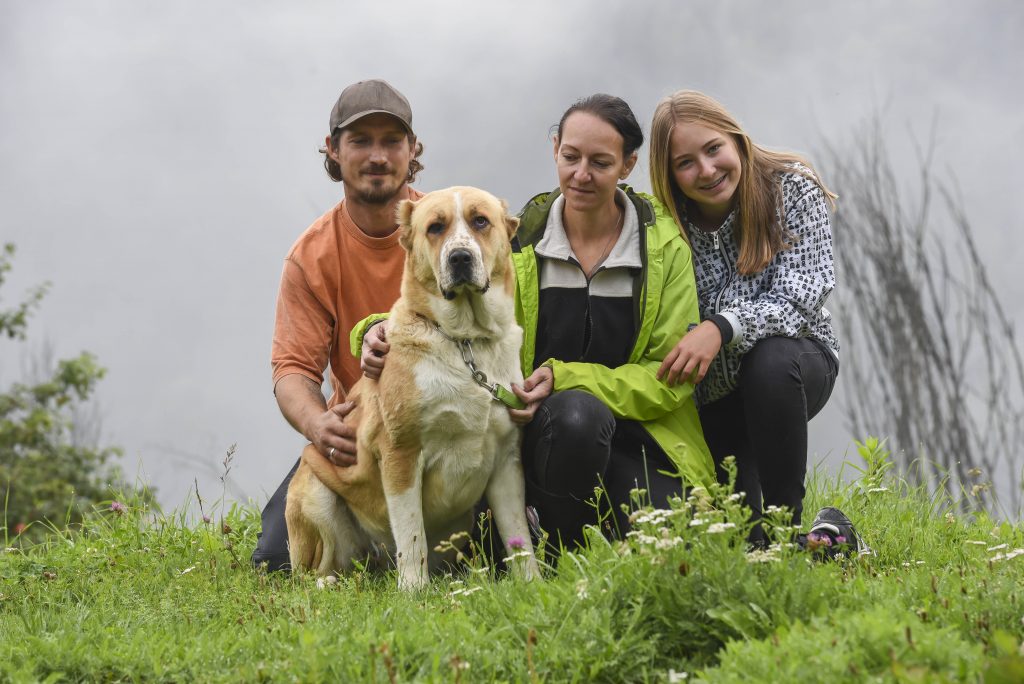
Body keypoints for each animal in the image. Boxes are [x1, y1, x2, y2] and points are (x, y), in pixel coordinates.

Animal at [284, 185, 540, 589]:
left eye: (480, 221)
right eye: (435, 227)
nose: (460, 258)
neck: (466, 343)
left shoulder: (506, 460)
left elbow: (520, 537)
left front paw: (533, 585)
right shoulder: (401, 455)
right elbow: (411, 531)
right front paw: (414, 591)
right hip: (315, 495)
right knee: (311, 575)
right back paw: (332, 583)